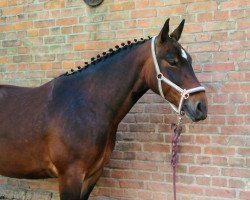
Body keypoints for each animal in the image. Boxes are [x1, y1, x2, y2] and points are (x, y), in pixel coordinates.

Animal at [0, 19, 207, 200]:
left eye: (189, 59)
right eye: (172, 61)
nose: (201, 106)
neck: (85, 107)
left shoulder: (93, 175)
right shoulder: (70, 176)